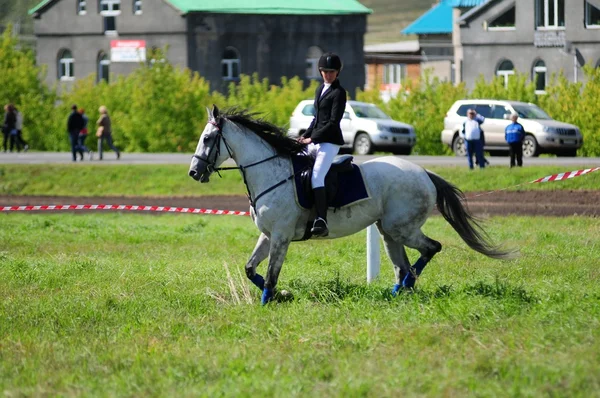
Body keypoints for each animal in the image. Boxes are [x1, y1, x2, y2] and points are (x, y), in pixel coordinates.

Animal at [189, 105, 516, 304]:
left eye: (207, 139)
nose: (194, 172)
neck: (271, 171)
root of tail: (424, 173)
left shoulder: (281, 236)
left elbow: (270, 274)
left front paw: (270, 300)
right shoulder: (269, 235)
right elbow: (250, 268)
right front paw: (283, 295)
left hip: (403, 229)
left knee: (430, 249)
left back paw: (406, 285)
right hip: (389, 232)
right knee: (402, 264)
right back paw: (398, 291)